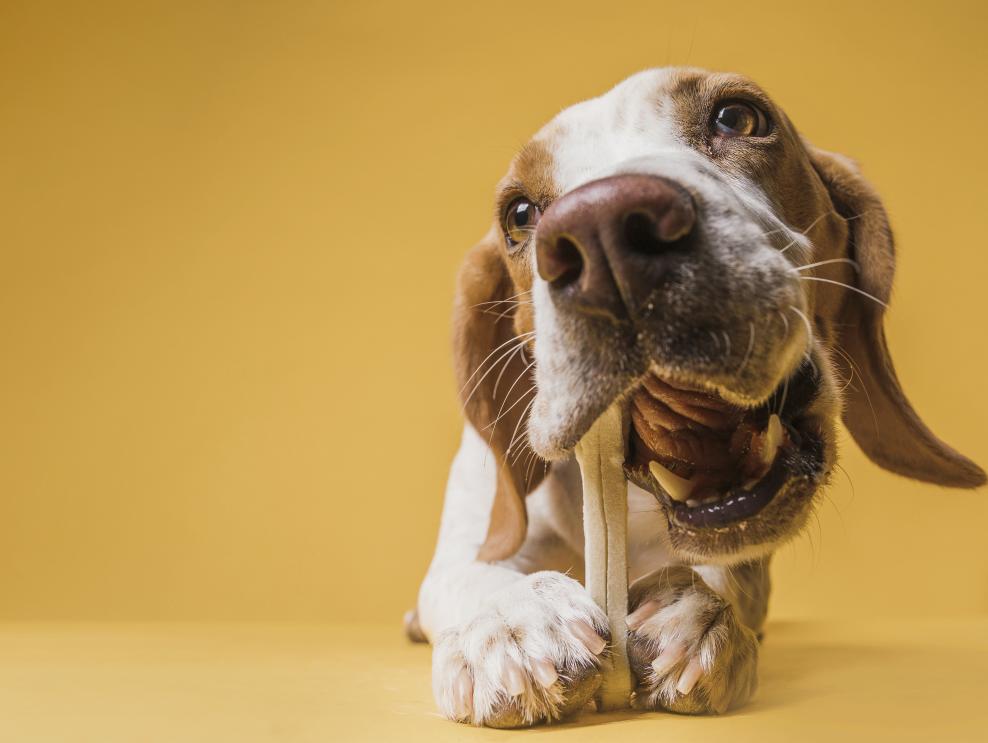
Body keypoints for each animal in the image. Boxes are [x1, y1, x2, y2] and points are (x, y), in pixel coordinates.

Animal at [406, 67, 984, 728]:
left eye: (737, 117)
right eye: (520, 213)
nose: (603, 228)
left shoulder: (749, 563)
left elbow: (730, 578)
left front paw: (698, 614)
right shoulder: (468, 542)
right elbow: (471, 575)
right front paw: (513, 623)